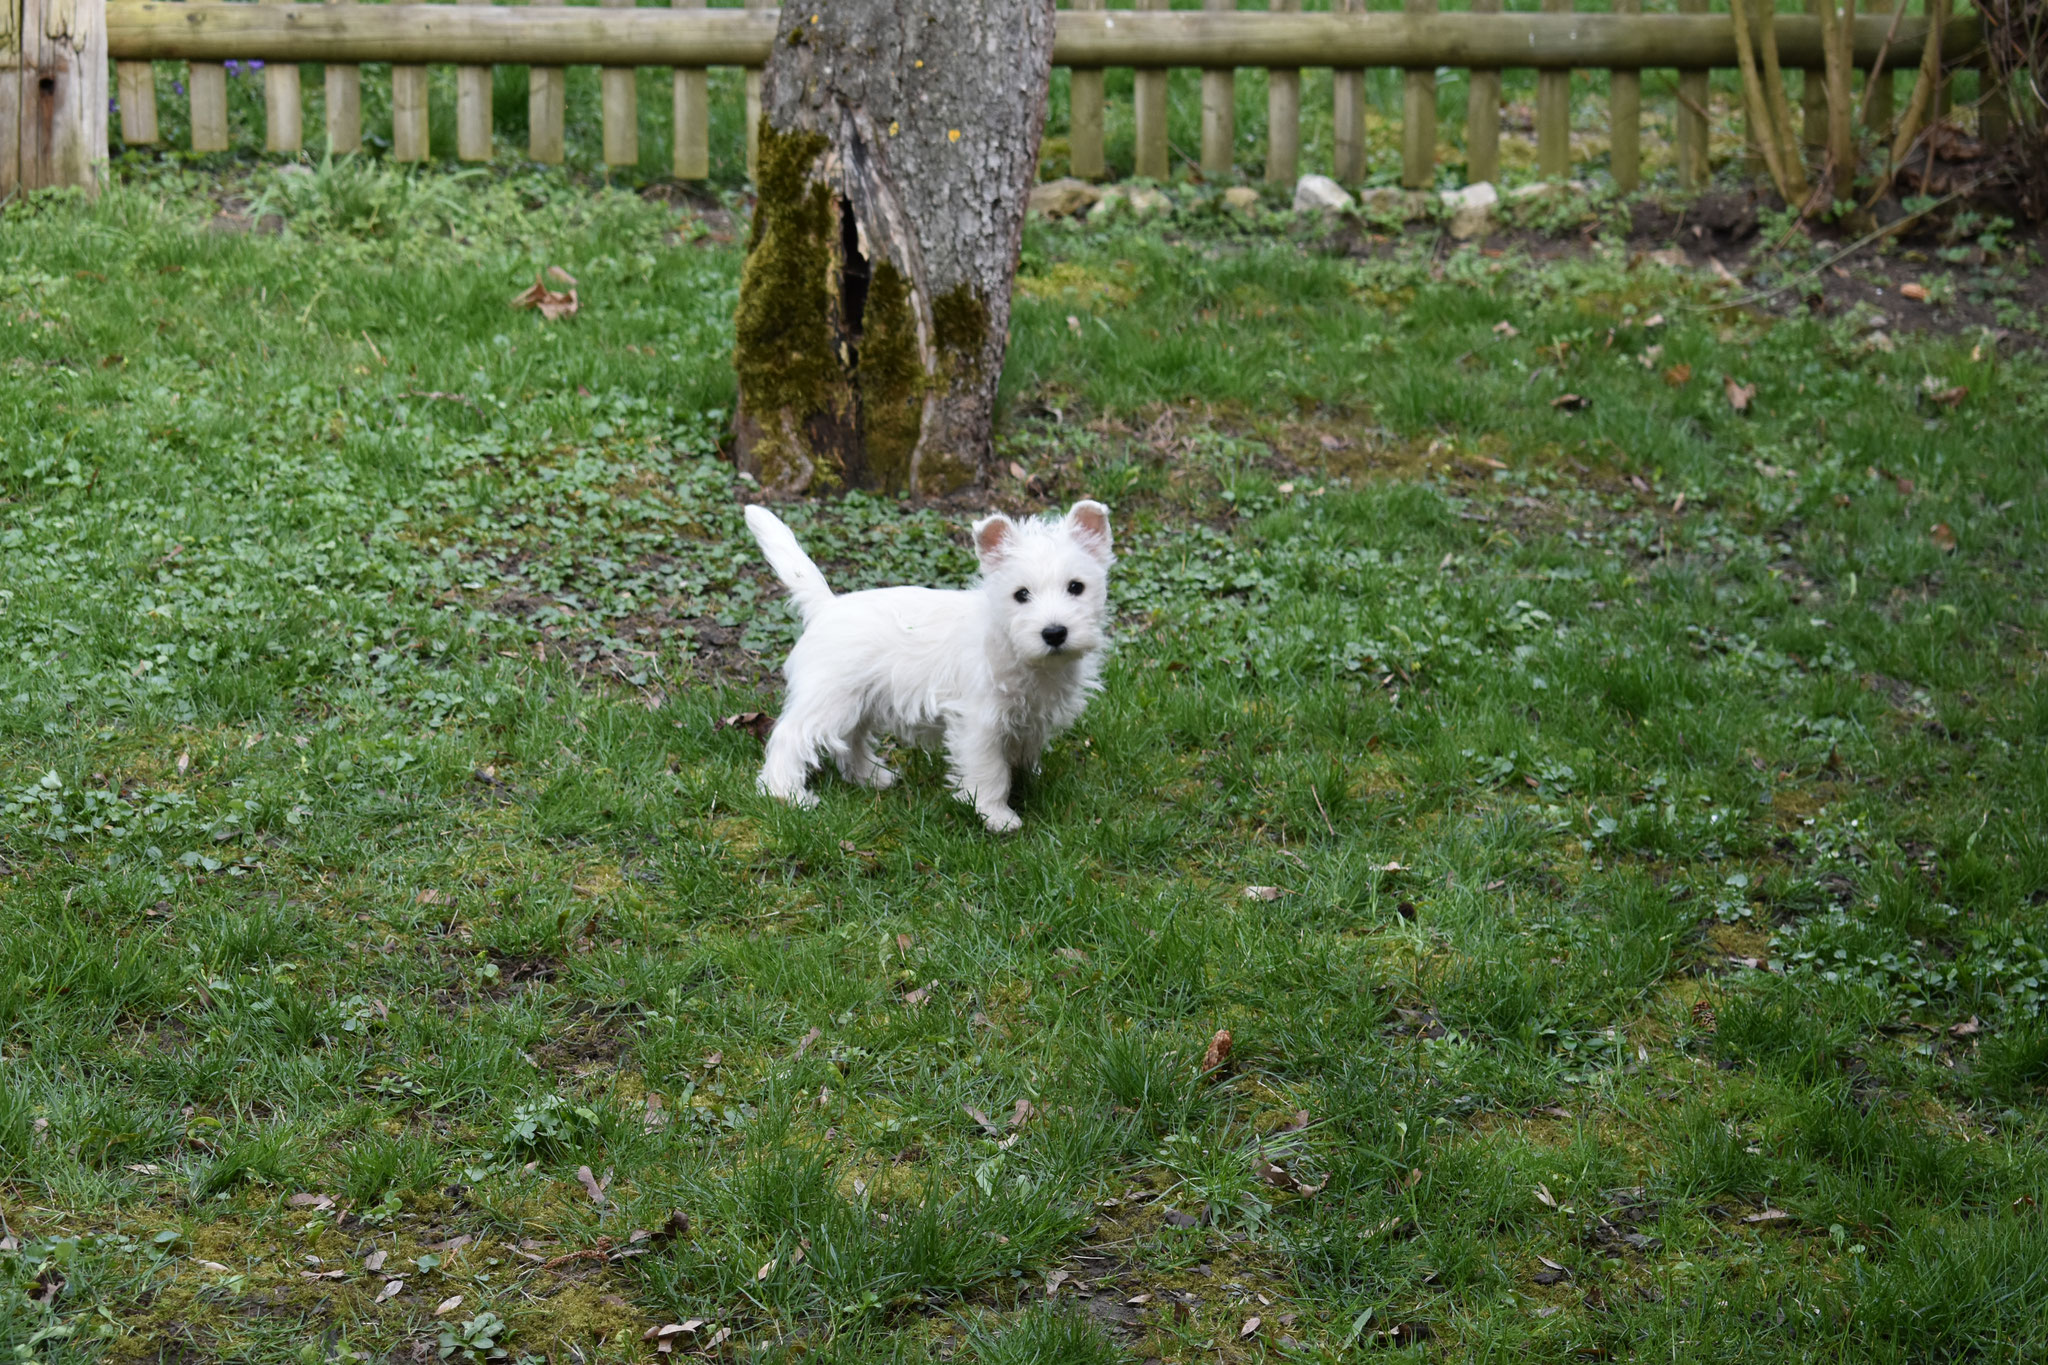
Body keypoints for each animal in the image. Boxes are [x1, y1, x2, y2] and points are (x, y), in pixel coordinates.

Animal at [745, 501, 1114, 834]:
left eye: (1076, 587)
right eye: (1021, 594)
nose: (1054, 633)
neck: (1017, 650)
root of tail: (826, 606)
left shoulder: (1033, 716)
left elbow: (1023, 753)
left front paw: (1027, 781)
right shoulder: (980, 722)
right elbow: (990, 770)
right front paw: (995, 815)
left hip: (858, 701)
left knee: (851, 740)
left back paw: (872, 777)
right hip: (829, 698)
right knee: (790, 737)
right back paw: (787, 795)